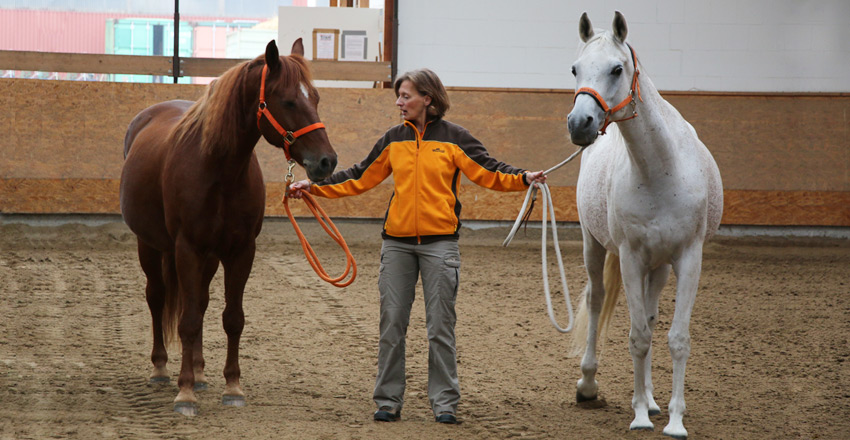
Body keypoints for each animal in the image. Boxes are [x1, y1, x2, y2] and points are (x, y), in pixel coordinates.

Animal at [120, 38, 338, 416]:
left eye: (315, 97)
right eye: (288, 100)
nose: (327, 161)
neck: (219, 169)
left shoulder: (240, 251)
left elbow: (231, 318)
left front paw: (232, 387)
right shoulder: (187, 248)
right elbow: (188, 321)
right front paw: (185, 393)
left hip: (207, 257)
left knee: (200, 302)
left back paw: (200, 373)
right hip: (150, 245)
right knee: (158, 297)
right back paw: (162, 368)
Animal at [568, 12, 720, 438]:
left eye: (617, 69)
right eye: (575, 69)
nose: (580, 123)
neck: (660, 171)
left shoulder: (688, 259)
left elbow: (675, 338)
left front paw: (673, 419)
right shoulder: (630, 258)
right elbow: (637, 337)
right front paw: (638, 416)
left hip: (660, 266)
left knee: (651, 318)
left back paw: (652, 399)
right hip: (594, 245)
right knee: (597, 300)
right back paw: (589, 384)